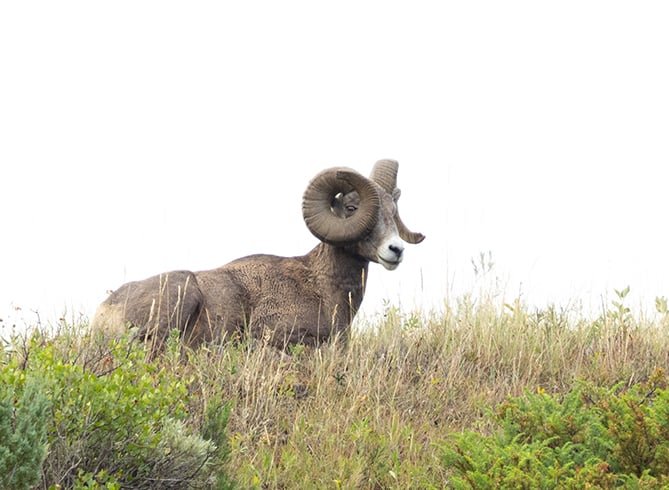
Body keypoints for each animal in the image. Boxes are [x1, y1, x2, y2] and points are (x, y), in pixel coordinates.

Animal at [91, 159, 424, 351]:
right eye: (353, 208)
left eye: (393, 212)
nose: (396, 250)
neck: (322, 288)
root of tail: (104, 312)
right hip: (180, 294)